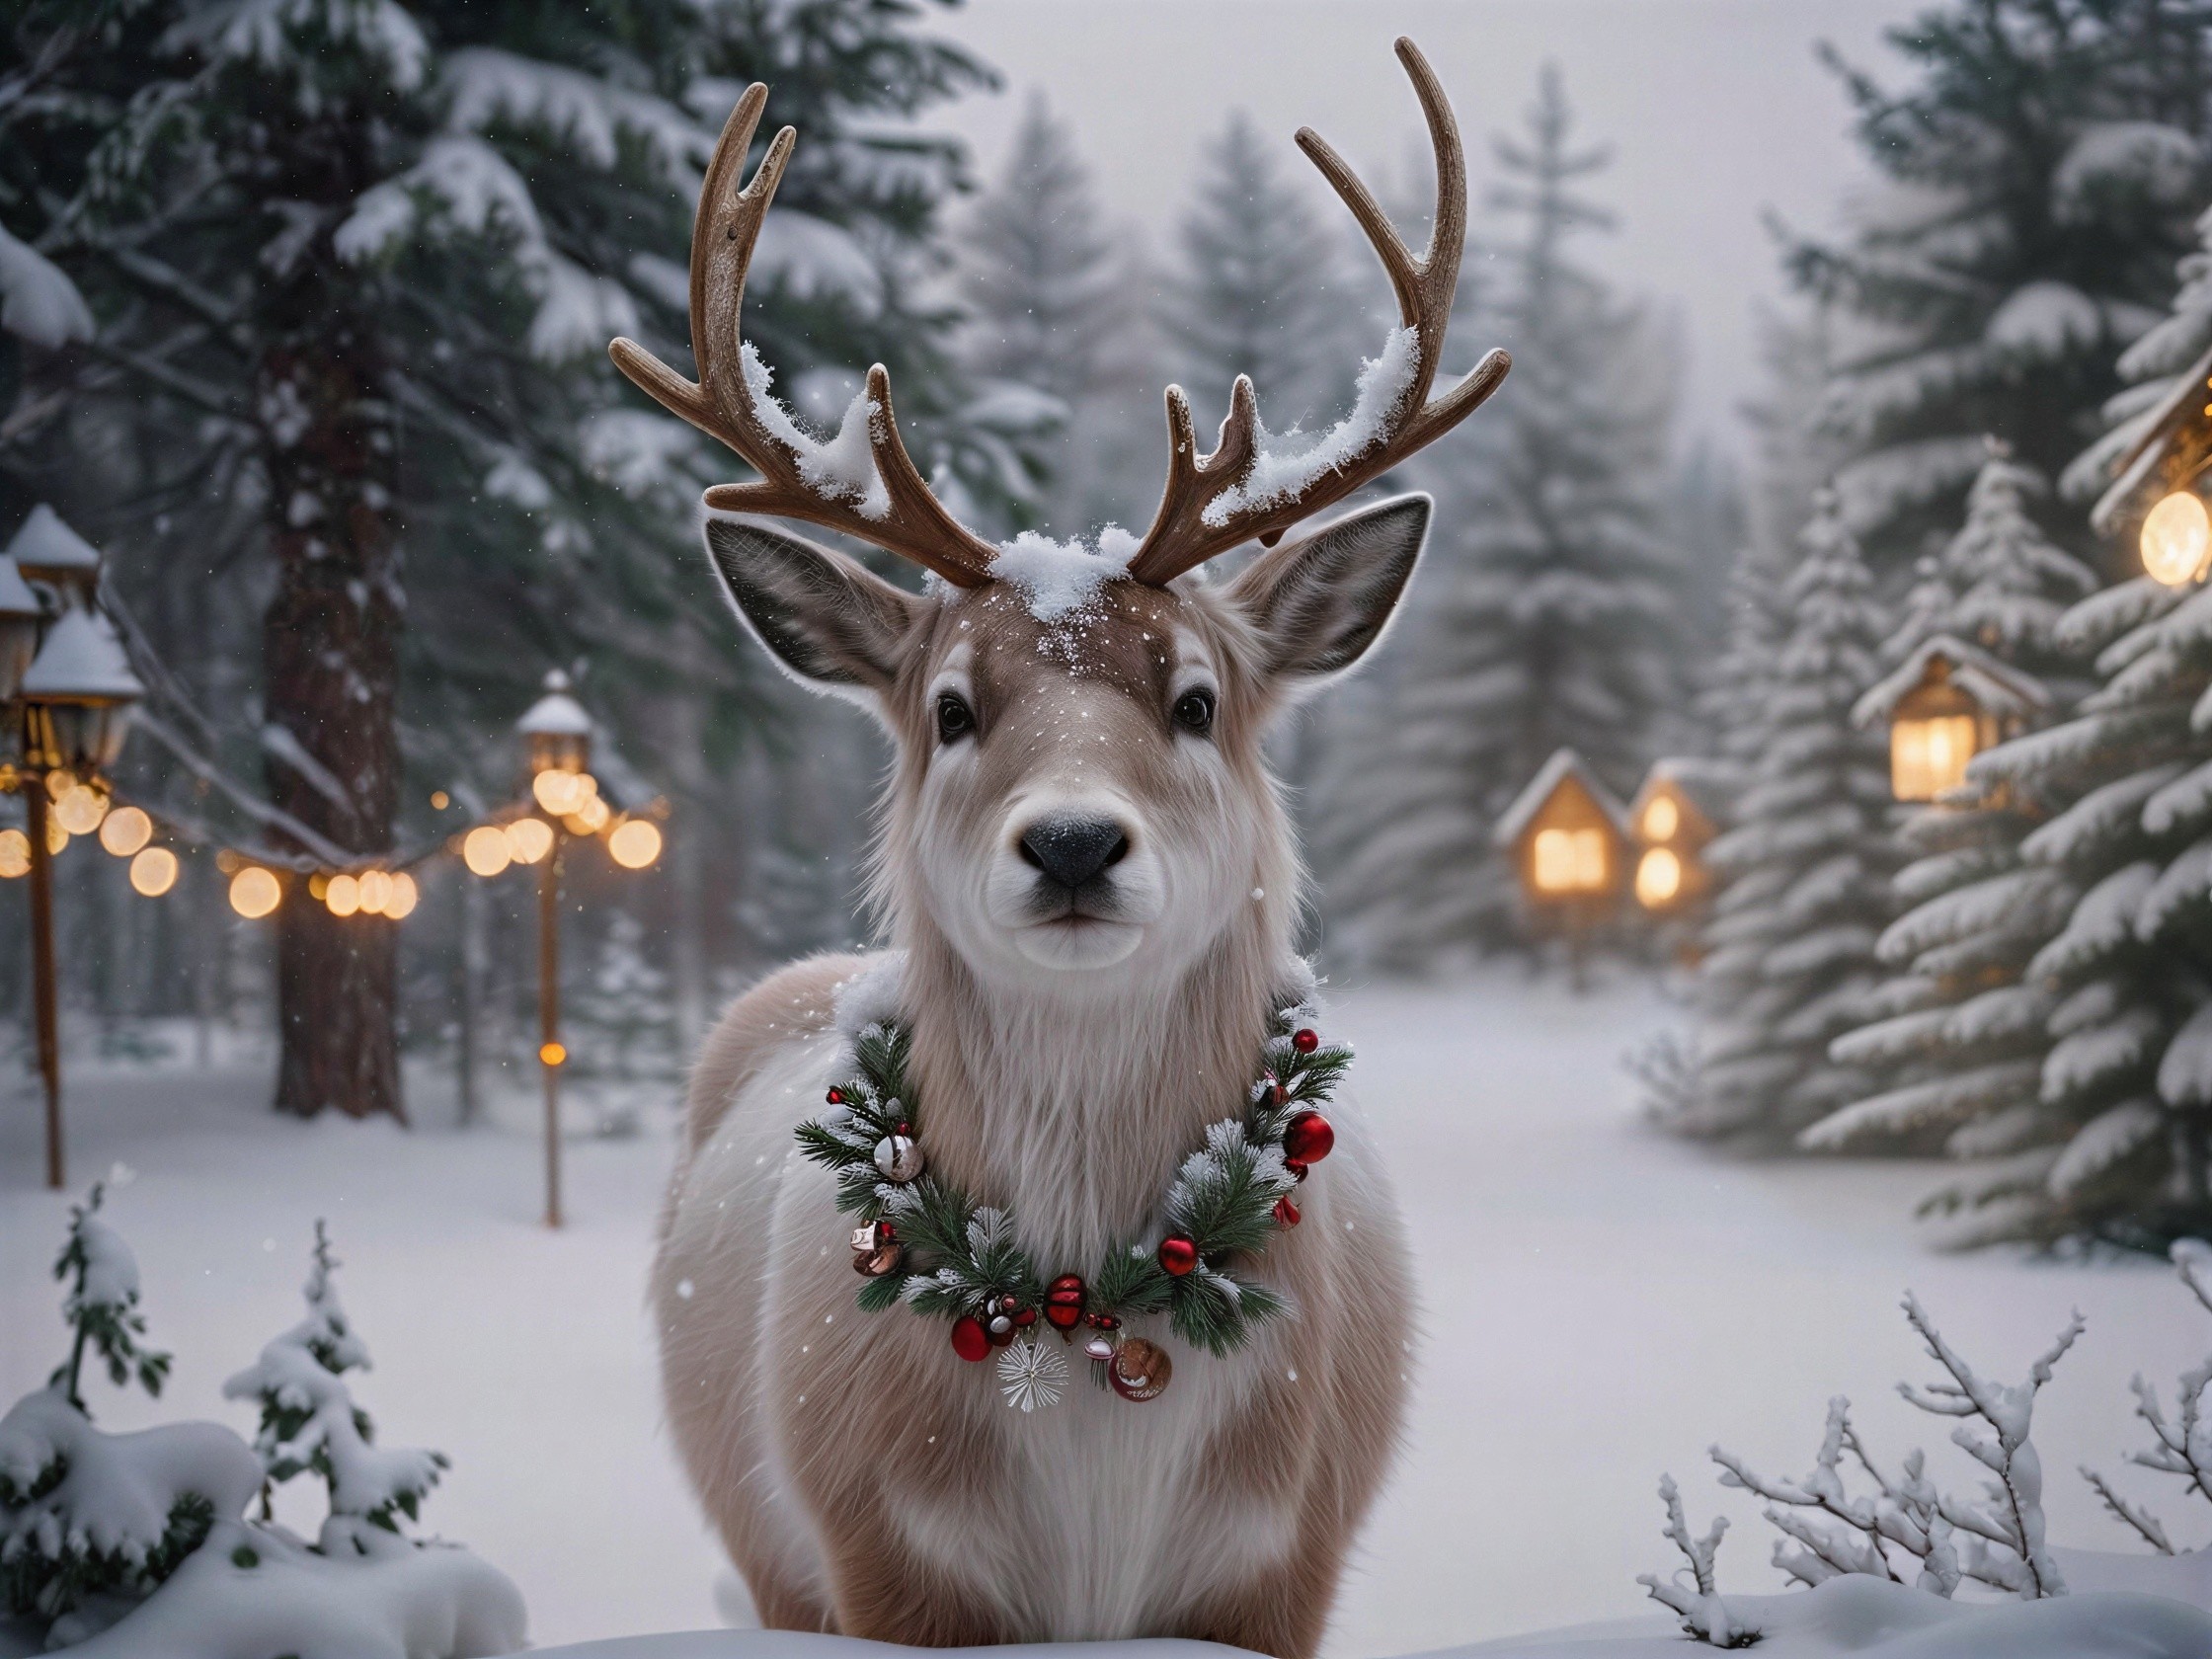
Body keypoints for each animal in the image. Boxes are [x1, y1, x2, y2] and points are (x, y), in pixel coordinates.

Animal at [611, 38, 1507, 1659]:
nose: (1078, 843)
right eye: (952, 708)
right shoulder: (887, 1567)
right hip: (771, 1555)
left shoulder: (1280, 1567)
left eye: (1198, 699)